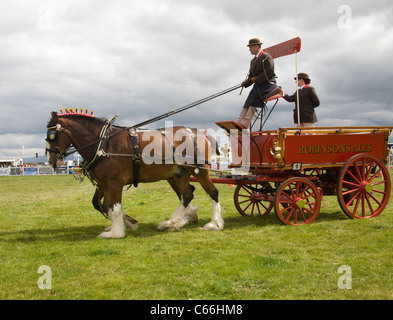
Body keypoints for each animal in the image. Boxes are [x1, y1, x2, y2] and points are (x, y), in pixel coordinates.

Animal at [45, 111, 224, 239]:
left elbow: (114, 207)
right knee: (186, 195)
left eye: (52, 136)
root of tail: (200, 132)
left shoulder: (114, 183)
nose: (51, 160)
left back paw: (214, 224)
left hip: (199, 170)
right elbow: (104, 206)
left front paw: (116, 232)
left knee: (212, 192)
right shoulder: (105, 184)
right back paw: (172, 222)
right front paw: (127, 223)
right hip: (180, 173)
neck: (103, 143)